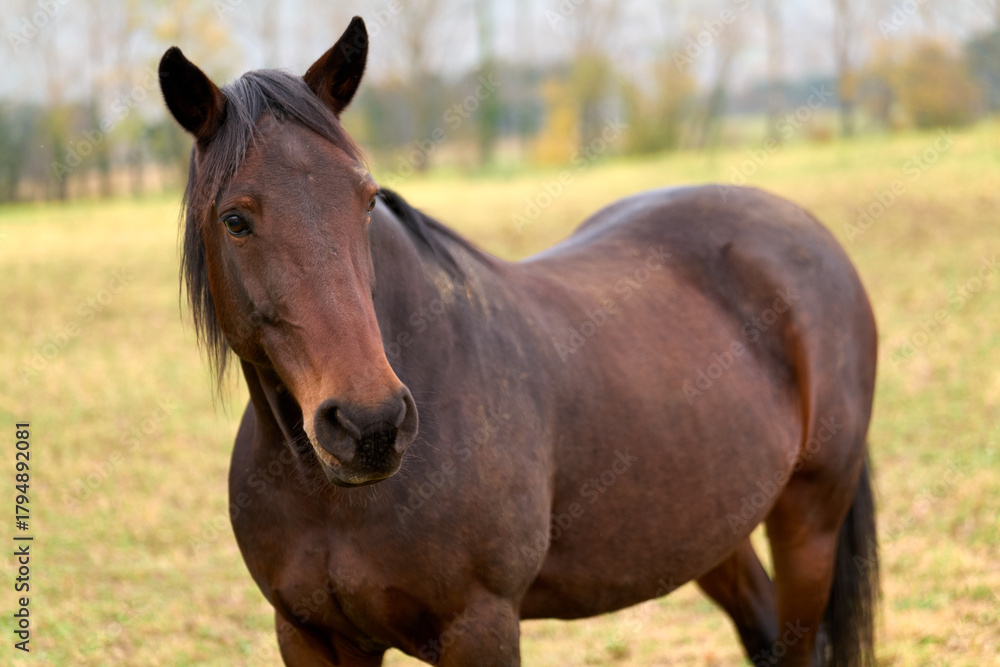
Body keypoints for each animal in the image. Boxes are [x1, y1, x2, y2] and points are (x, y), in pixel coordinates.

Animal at [159, 16, 878, 667]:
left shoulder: (481, 627)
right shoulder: (311, 636)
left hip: (809, 522)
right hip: (713, 526)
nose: (370, 424)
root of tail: (804, 230)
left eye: (365, 201)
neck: (332, 497)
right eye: (235, 220)